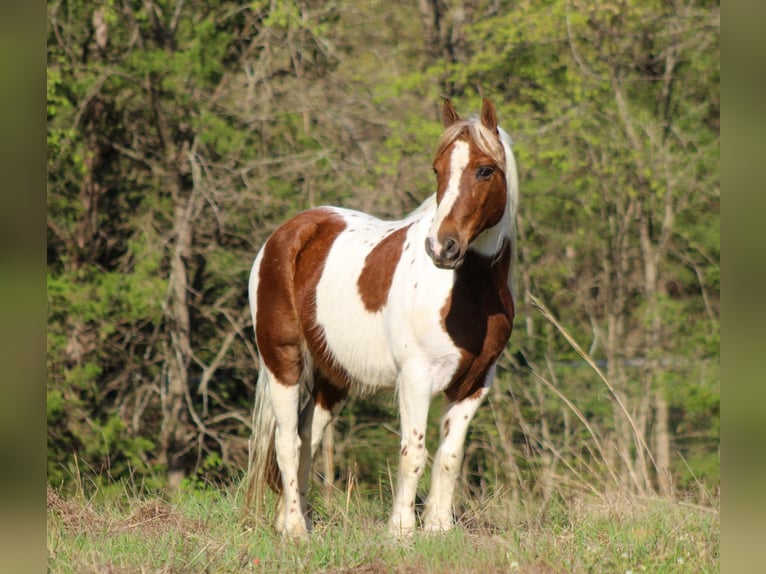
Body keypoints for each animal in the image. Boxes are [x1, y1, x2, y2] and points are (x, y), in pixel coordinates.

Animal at [244, 98, 519, 538]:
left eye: (485, 170)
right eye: (437, 169)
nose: (441, 247)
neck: (466, 295)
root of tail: (284, 236)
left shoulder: (475, 384)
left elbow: (450, 456)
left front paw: (438, 528)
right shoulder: (415, 379)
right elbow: (414, 452)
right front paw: (401, 531)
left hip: (333, 377)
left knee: (307, 437)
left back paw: (293, 519)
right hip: (281, 361)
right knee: (287, 442)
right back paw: (296, 531)